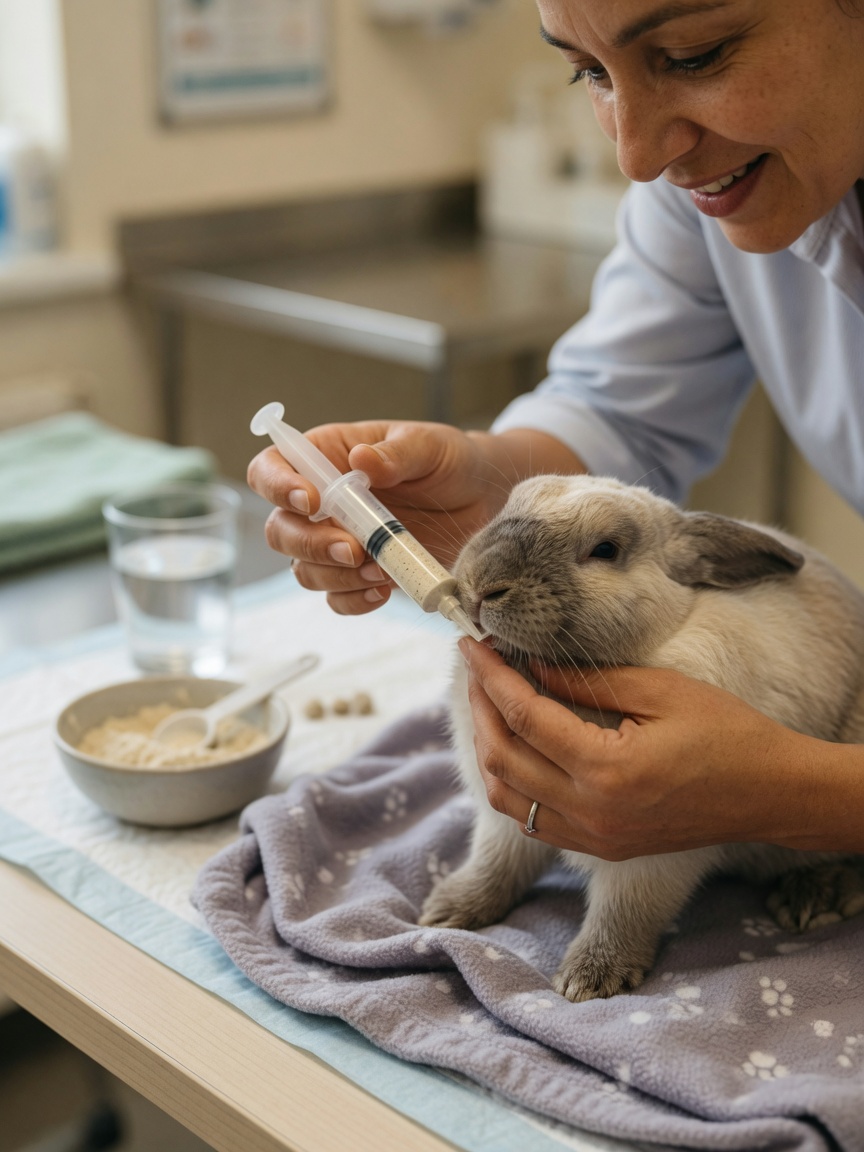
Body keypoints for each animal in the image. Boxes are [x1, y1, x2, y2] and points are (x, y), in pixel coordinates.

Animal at [419, 474, 864, 1002]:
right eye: (509, 504)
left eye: (606, 550)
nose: (483, 584)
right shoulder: (504, 822)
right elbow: (495, 864)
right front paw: (447, 911)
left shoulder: (651, 857)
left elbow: (624, 912)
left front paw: (588, 981)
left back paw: (815, 897)